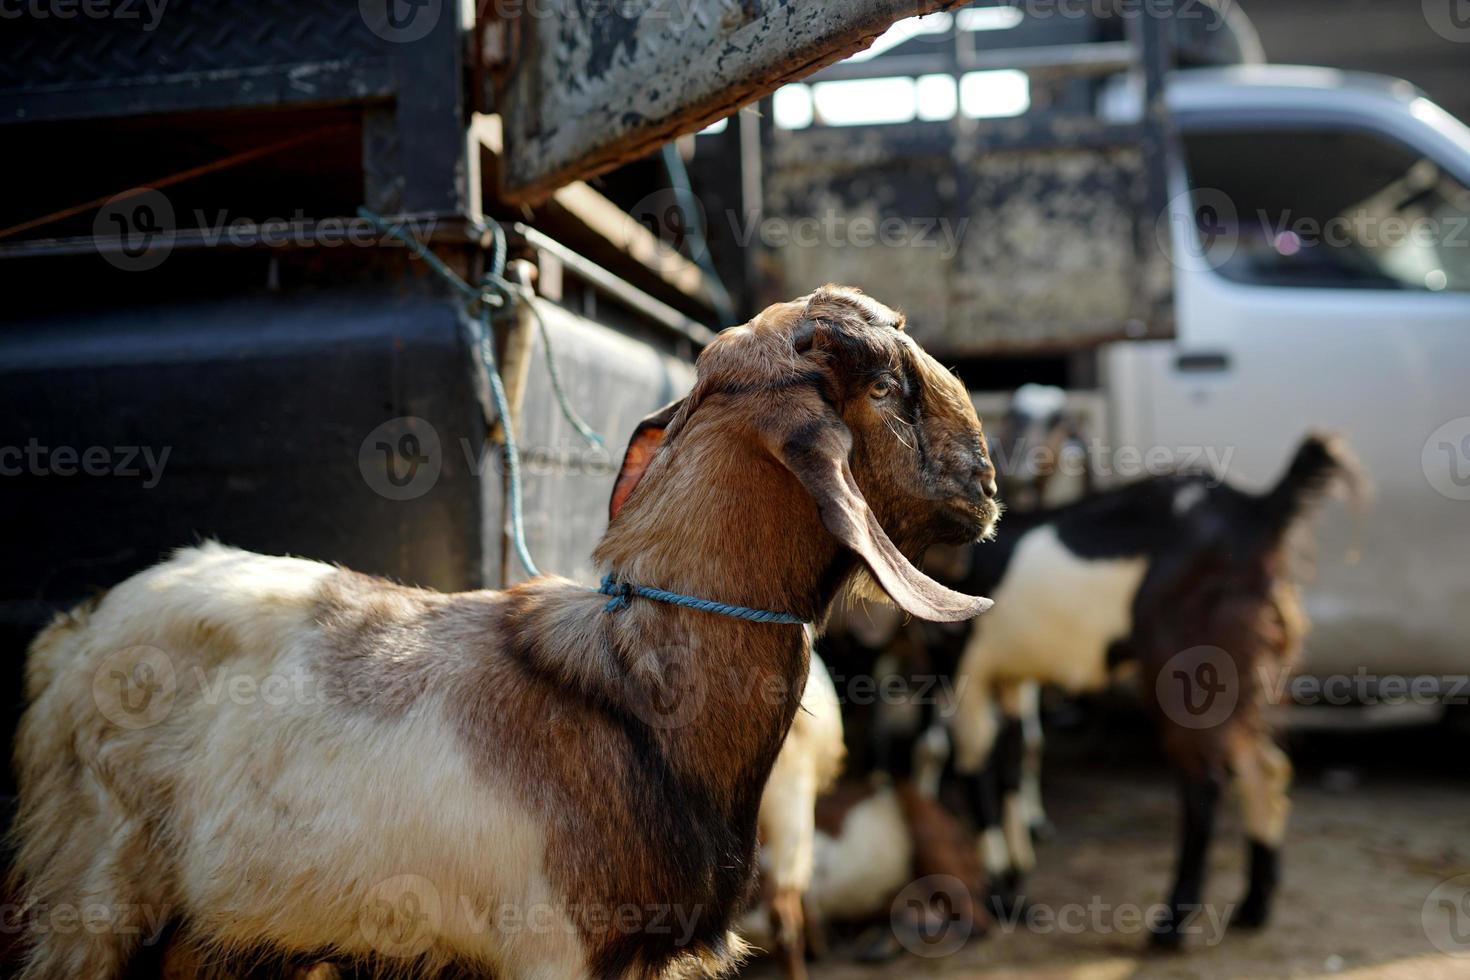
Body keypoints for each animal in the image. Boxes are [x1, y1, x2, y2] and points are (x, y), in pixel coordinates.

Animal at [8, 285, 999, 980]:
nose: (988, 485)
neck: (638, 688)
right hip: (91, 892)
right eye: (886, 384)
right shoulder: (551, 946)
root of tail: (77, 632)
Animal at [923, 434, 1358, 940]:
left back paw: (1172, 925)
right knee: (1265, 766)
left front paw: (1000, 897)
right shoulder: (1012, 675)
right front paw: (1016, 890)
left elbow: (976, 770)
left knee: (1203, 781)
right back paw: (1253, 907)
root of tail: (1257, 509)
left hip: (1184, 663)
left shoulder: (963, 667)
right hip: (1242, 667)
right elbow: (1013, 761)